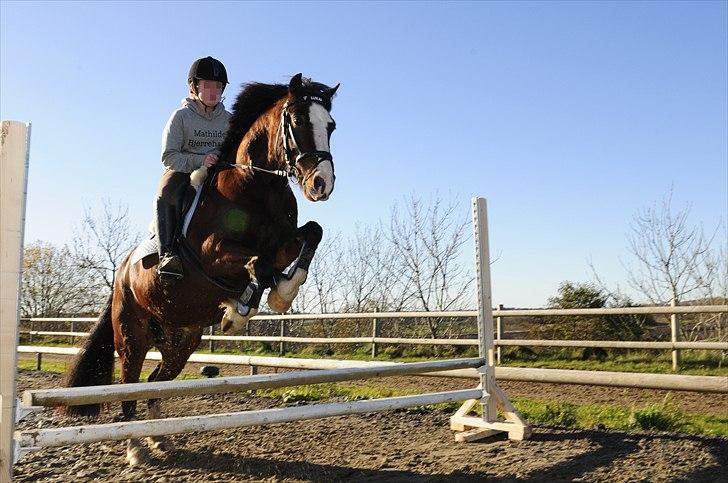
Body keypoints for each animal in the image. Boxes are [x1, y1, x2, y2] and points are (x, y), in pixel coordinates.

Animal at [61, 73, 340, 466]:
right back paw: (135, 449)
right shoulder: (213, 255)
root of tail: (121, 274)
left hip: (181, 339)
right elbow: (258, 264)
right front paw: (240, 311)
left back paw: (158, 439)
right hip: (132, 334)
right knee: (129, 384)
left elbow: (310, 234)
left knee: (156, 382)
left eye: (330, 126)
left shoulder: (284, 245)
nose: (321, 184)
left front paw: (280, 294)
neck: (257, 184)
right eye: (299, 120)